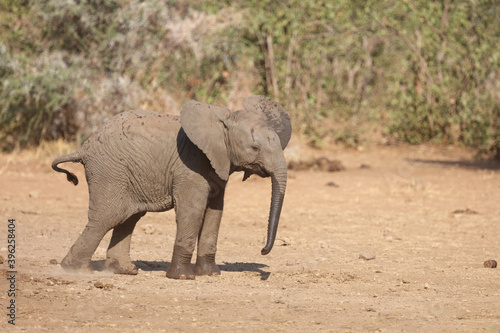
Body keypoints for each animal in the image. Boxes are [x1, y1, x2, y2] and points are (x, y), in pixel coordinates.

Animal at [51, 95, 290, 278]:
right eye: (255, 148)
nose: (262, 250)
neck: (224, 120)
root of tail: (84, 147)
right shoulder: (190, 166)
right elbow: (192, 211)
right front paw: (183, 277)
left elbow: (215, 213)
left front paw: (211, 274)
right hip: (109, 171)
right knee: (108, 217)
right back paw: (77, 270)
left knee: (128, 217)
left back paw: (123, 270)